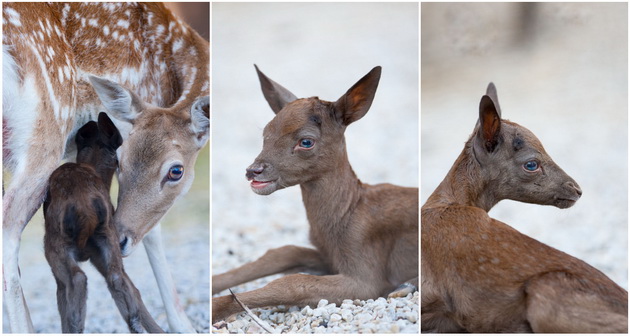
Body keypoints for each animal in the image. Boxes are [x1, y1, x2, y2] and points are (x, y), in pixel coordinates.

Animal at [43, 113, 163, 334]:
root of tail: (84, 207)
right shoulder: (104, 253)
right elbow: (134, 291)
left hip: (55, 250)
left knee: (78, 280)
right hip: (107, 241)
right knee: (117, 279)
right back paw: (135, 324)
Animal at [212, 66, 420, 322]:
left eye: (306, 141)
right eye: (265, 134)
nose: (253, 171)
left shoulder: (368, 273)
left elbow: (293, 283)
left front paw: (214, 308)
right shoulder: (330, 257)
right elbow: (284, 252)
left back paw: (407, 286)